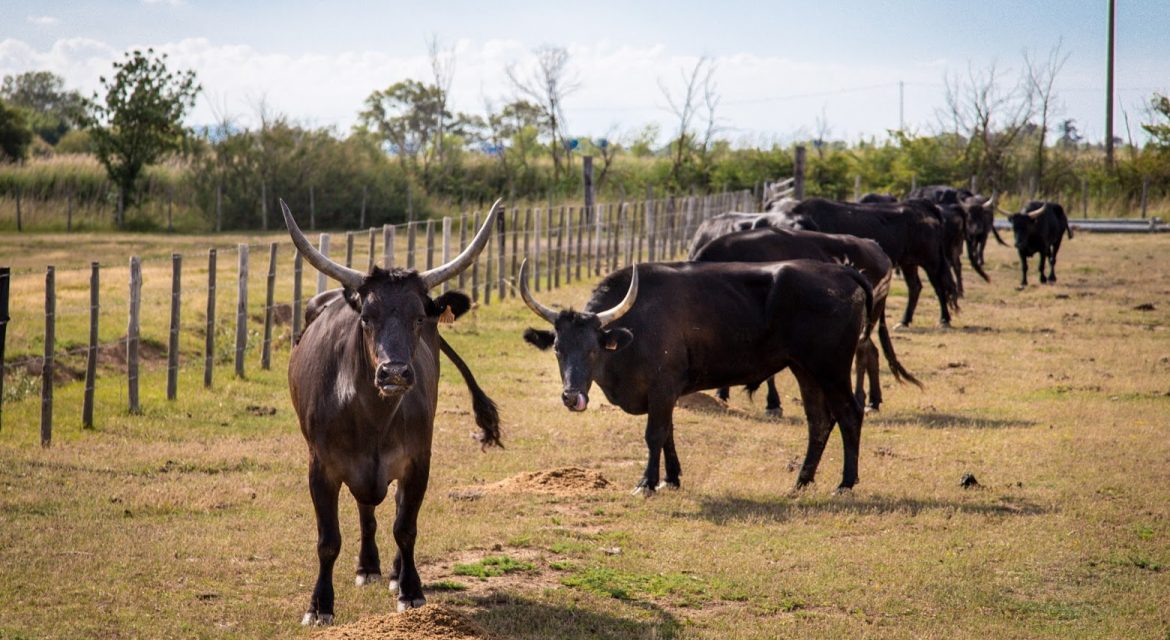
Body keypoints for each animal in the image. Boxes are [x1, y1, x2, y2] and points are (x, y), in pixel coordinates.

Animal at [519, 259, 870, 496]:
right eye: (558, 349)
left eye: (593, 350)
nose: (571, 396)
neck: (636, 328)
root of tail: (840, 272)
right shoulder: (666, 394)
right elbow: (668, 433)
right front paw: (670, 478)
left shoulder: (662, 389)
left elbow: (654, 434)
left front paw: (646, 483)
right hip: (805, 369)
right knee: (819, 421)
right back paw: (801, 481)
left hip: (832, 369)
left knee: (849, 414)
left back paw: (845, 483)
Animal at [687, 228, 917, 414]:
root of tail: (876, 247)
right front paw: (722, 393)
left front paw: (773, 404)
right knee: (872, 352)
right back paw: (874, 401)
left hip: (865, 323)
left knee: (863, 352)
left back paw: (862, 399)